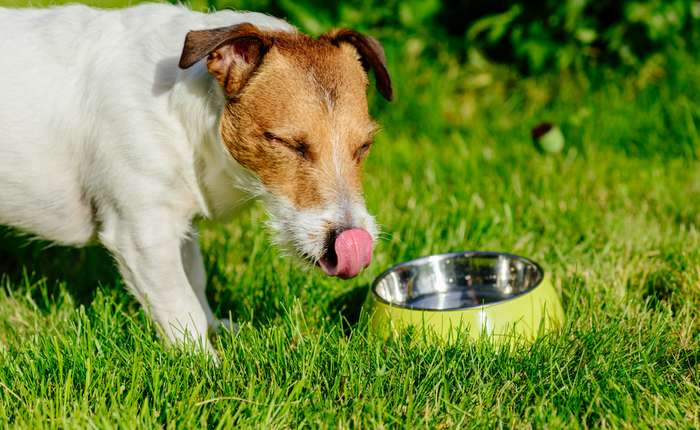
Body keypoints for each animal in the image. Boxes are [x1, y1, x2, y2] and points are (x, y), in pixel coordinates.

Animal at [0, 2, 394, 352]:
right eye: (288, 143)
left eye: (364, 146)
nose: (351, 240)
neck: (178, 110)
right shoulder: (143, 234)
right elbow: (180, 304)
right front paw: (205, 364)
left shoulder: (180, 222)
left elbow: (196, 278)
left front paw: (215, 327)